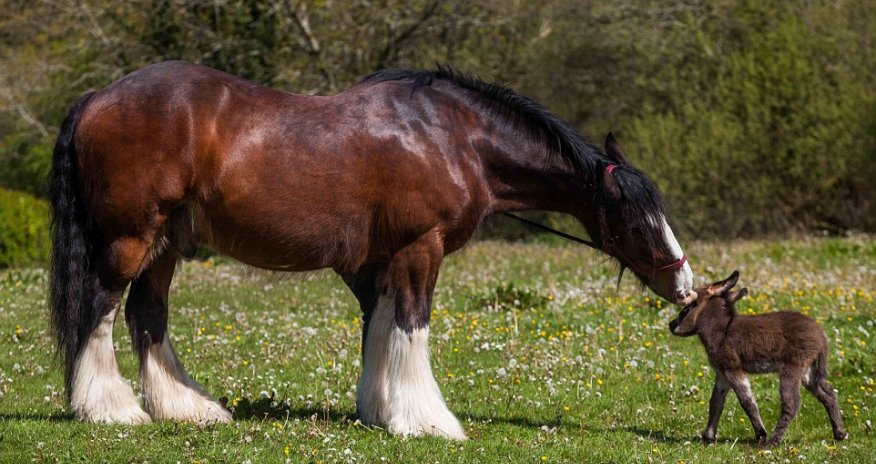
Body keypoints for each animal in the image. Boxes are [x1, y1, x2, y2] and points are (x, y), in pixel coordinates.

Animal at [49, 61, 695, 439]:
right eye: (636, 219)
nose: (686, 287)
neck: (453, 137)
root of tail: (96, 97)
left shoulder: (379, 263)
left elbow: (382, 330)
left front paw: (384, 411)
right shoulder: (420, 249)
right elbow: (412, 327)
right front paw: (428, 420)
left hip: (167, 242)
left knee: (147, 314)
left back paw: (187, 408)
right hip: (131, 237)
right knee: (101, 309)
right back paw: (111, 408)